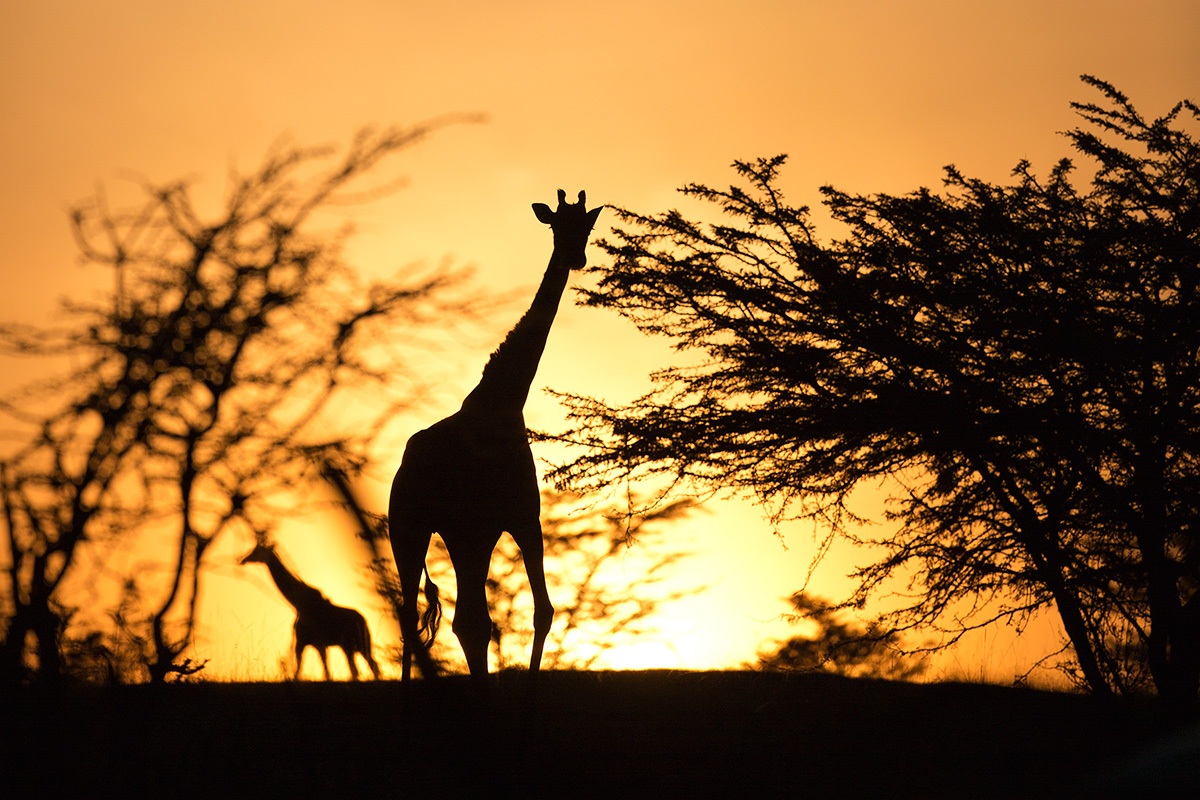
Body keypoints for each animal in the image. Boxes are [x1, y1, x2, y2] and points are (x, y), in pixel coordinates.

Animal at [240, 540, 382, 680]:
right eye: (253, 549)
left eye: (257, 550)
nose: (242, 559)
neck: (298, 604)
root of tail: (365, 621)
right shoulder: (308, 643)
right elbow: (309, 672)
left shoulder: (311, 643)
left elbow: (316, 672)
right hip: (351, 647)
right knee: (363, 668)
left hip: (357, 645)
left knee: (369, 667)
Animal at [388, 189, 602, 680]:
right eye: (555, 225)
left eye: (587, 227)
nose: (575, 257)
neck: (502, 404)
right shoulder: (488, 523)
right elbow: (500, 617)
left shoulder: (521, 518)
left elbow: (543, 610)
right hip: (411, 528)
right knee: (419, 613)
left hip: (459, 535)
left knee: (458, 617)